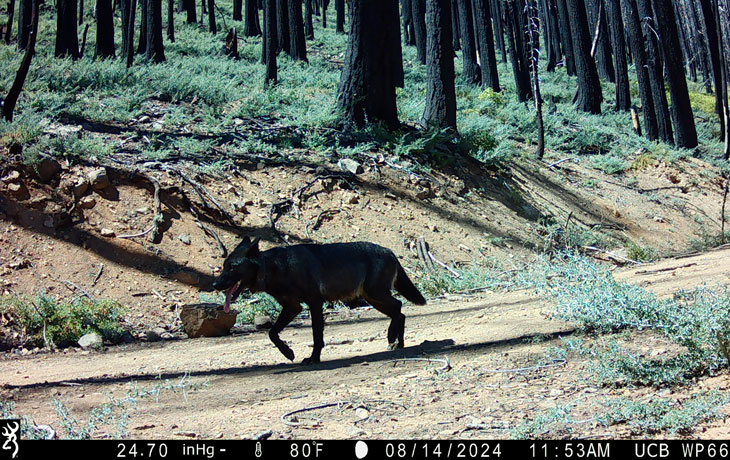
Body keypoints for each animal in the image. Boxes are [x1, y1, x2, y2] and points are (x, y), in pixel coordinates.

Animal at [210, 237, 426, 362]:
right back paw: (398, 343)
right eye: (224, 265)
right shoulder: (293, 307)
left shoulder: (314, 303)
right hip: (373, 298)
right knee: (400, 311)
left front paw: (313, 358)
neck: (277, 268)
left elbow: (316, 335)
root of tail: (390, 251)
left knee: (399, 307)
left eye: (232, 267)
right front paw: (288, 352)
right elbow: (272, 333)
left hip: (376, 295)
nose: (214, 284)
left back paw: (392, 338)